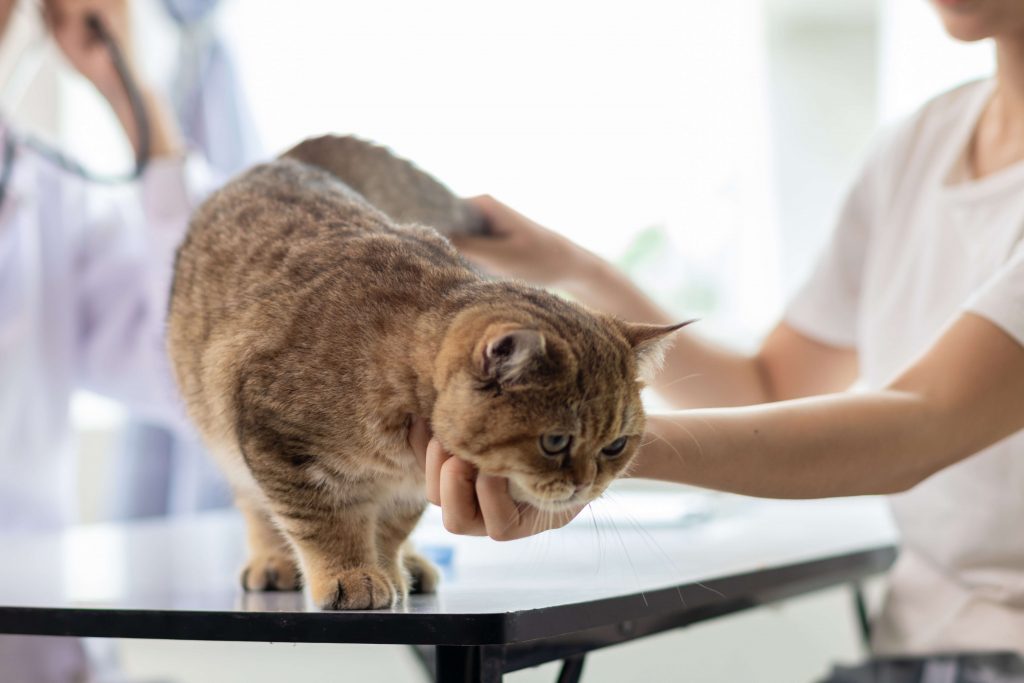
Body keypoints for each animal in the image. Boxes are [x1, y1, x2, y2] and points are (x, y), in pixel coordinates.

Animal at [167, 136, 686, 610]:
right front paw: (350, 574)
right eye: (554, 442)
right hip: (220, 433)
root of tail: (291, 158)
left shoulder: (414, 483)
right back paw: (273, 561)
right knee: (254, 504)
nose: (586, 485)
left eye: (615, 447)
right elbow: (322, 522)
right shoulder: (277, 442)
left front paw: (386, 566)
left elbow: (391, 528)